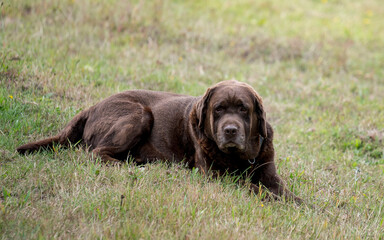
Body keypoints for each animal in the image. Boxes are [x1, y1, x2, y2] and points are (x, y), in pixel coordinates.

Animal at [17, 80, 304, 202]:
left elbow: (282, 190)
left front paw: (301, 203)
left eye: (243, 109)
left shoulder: (269, 173)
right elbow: (254, 188)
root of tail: (93, 106)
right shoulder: (217, 177)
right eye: (219, 109)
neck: (241, 157)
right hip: (140, 114)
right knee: (95, 153)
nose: (230, 130)